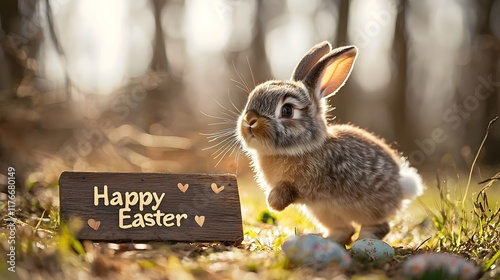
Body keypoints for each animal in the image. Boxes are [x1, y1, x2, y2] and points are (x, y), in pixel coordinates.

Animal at [236, 40, 424, 244]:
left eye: (287, 110)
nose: (250, 119)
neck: (302, 148)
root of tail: (403, 184)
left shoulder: (306, 184)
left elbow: (289, 190)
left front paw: (273, 204)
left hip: (364, 209)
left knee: (379, 226)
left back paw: (364, 240)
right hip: (323, 212)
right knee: (346, 229)